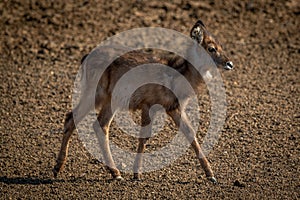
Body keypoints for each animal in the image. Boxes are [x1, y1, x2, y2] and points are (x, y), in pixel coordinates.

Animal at [52, 19, 233, 183]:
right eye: (211, 48)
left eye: (221, 46)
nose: (229, 63)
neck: (177, 76)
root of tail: (85, 58)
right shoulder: (148, 105)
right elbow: (144, 137)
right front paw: (136, 174)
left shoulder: (174, 108)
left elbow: (191, 135)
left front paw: (211, 175)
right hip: (95, 94)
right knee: (72, 118)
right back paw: (58, 169)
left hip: (111, 101)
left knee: (98, 125)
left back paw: (114, 173)